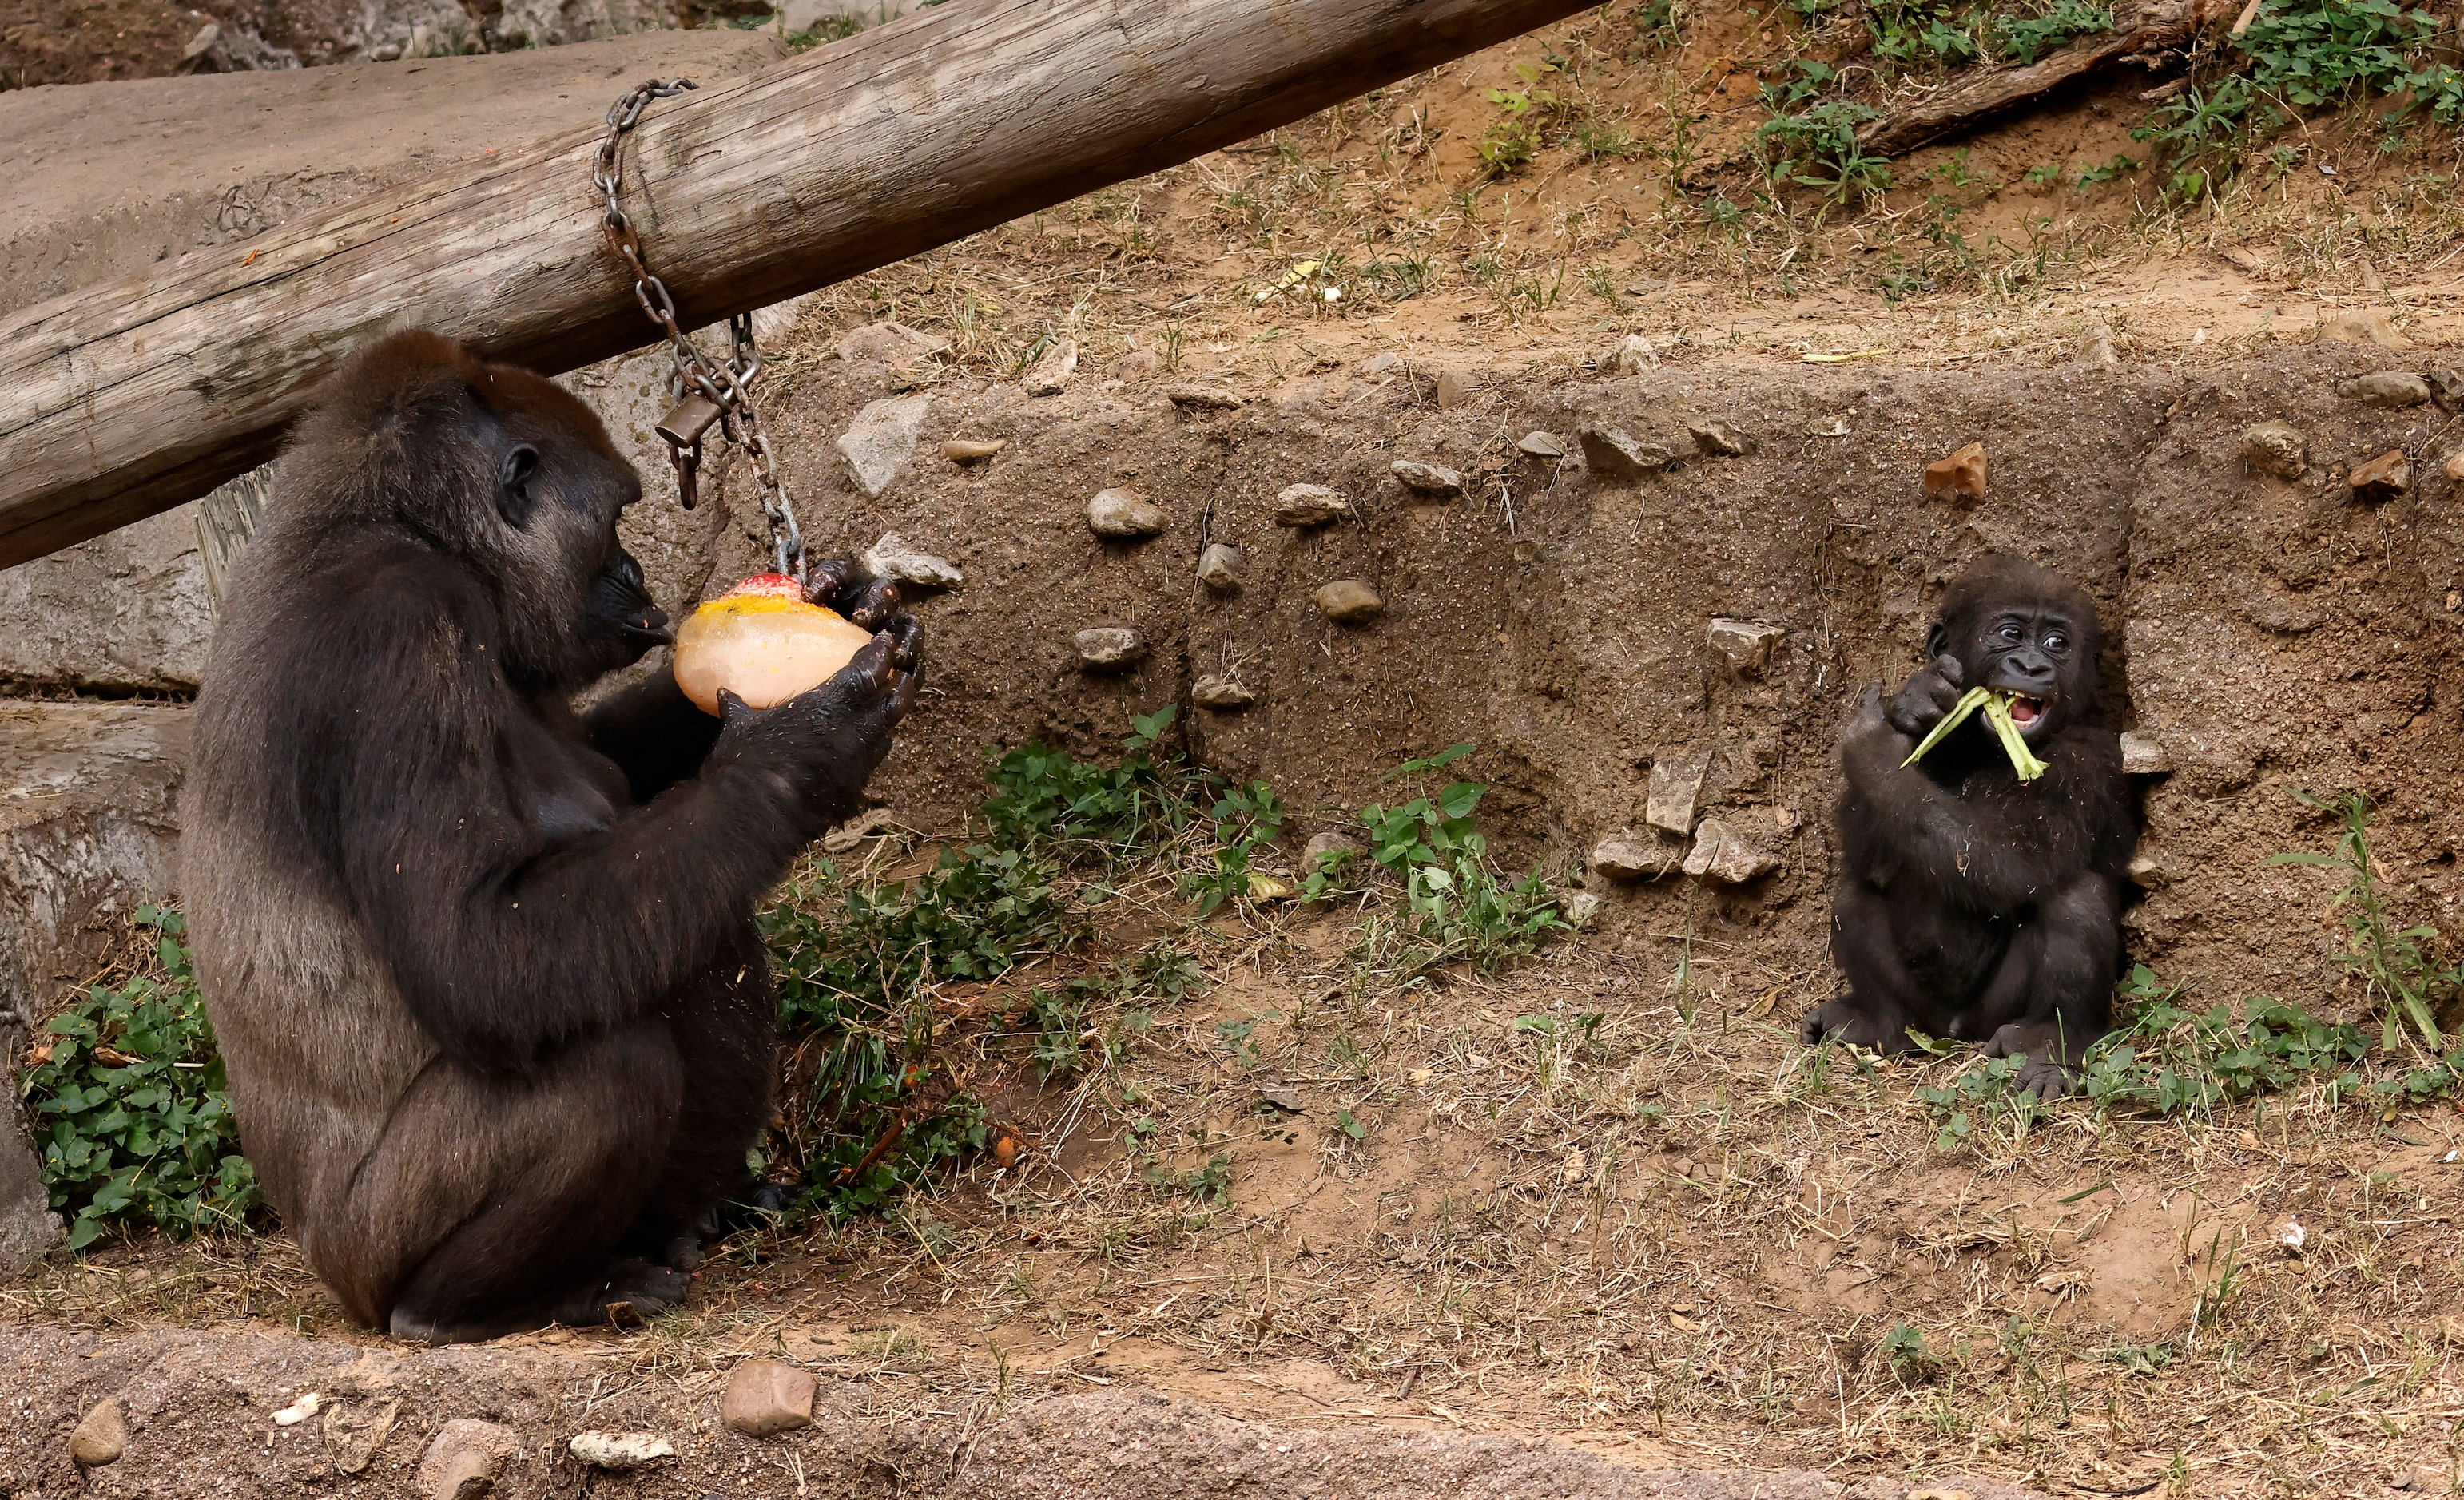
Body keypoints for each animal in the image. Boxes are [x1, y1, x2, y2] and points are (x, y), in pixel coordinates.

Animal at [182, 332, 916, 1339]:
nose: (639, 575)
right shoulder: (395, 633)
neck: (403, 531)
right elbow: (482, 957)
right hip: (367, 1255)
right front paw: (802, 752)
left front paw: (847, 601)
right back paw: (478, 1305)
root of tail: (330, 1274)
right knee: (609, 1069)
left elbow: (616, 756)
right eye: (616, 516)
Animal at [1813, 556, 2138, 1093]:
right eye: (2010, 634)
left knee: (2075, 896)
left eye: (2057, 642)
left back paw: (2049, 1041)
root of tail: (1955, 1030)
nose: (2031, 667)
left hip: (1995, 1012)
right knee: (1858, 887)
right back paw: (1877, 1018)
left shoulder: (2091, 759)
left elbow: (2011, 859)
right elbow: (1867, 847)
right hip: (1924, 1015)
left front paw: (1875, 750)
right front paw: (1915, 707)